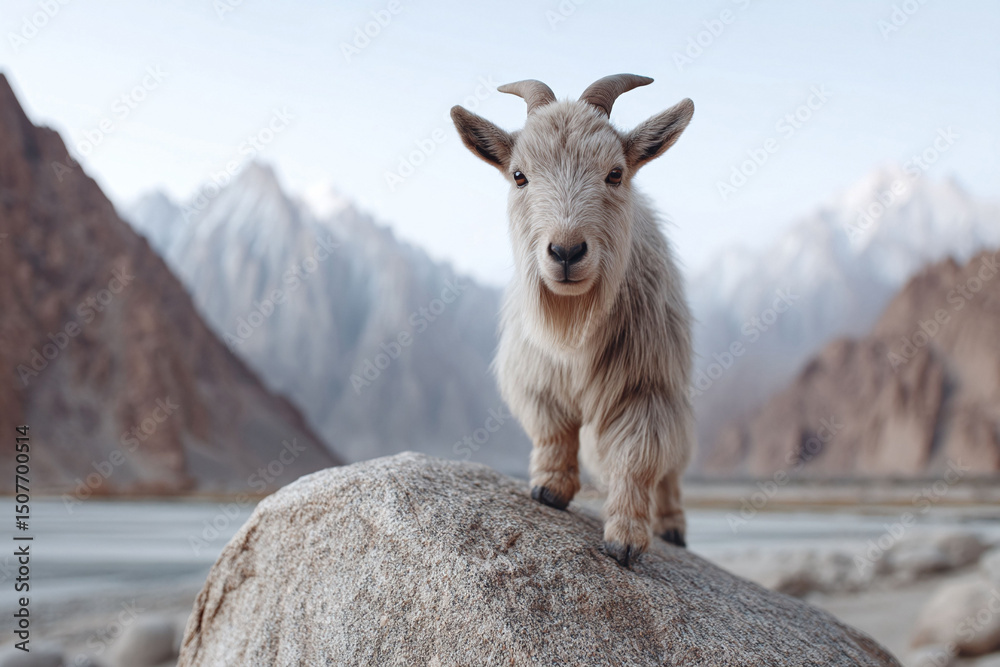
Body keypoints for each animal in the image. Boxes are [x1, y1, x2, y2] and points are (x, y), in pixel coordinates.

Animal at [451, 75, 694, 566]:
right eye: (519, 175)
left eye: (615, 173)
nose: (566, 252)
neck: (575, 327)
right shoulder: (537, 378)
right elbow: (553, 432)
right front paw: (549, 489)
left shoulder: (648, 390)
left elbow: (637, 459)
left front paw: (625, 540)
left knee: (671, 470)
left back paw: (672, 527)